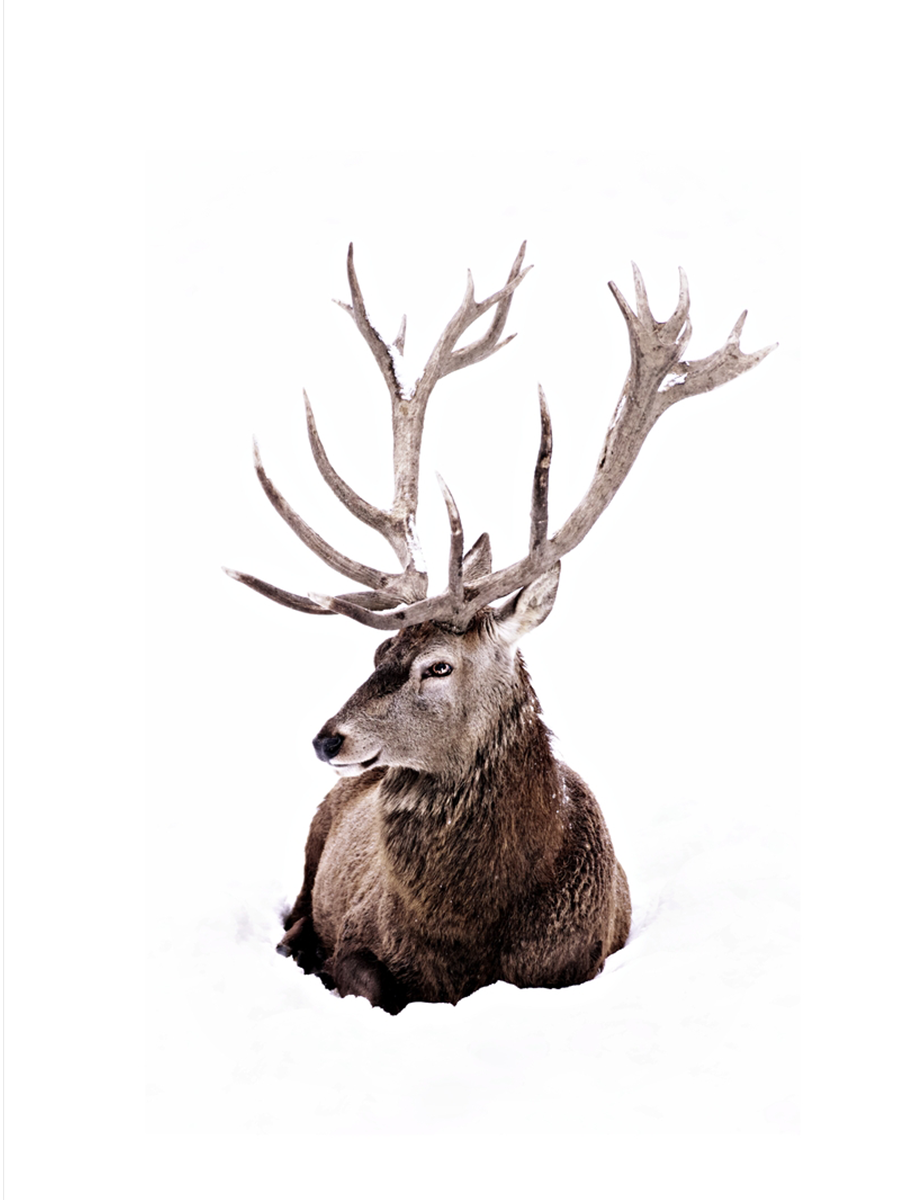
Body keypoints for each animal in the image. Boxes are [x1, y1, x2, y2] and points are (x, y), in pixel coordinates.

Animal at [226, 243, 775, 1014]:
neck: (472, 936)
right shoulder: (360, 937)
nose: (327, 738)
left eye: (438, 664)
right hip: (313, 839)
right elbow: (363, 976)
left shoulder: (580, 958)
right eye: (379, 647)